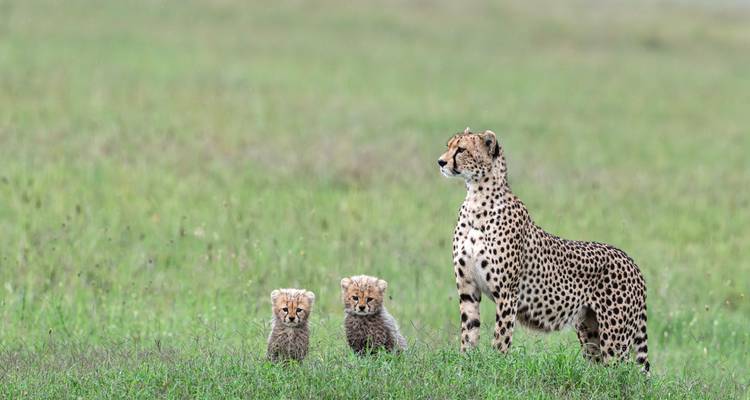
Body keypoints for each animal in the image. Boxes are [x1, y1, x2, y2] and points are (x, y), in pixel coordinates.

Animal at [437, 127, 650, 373]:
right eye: (449, 146)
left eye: (461, 149)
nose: (440, 161)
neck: (477, 199)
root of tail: (630, 260)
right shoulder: (468, 290)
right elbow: (468, 334)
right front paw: (466, 366)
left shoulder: (507, 294)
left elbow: (501, 338)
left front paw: (496, 367)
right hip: (589, 329)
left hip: (615, 337)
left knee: (623, 373)